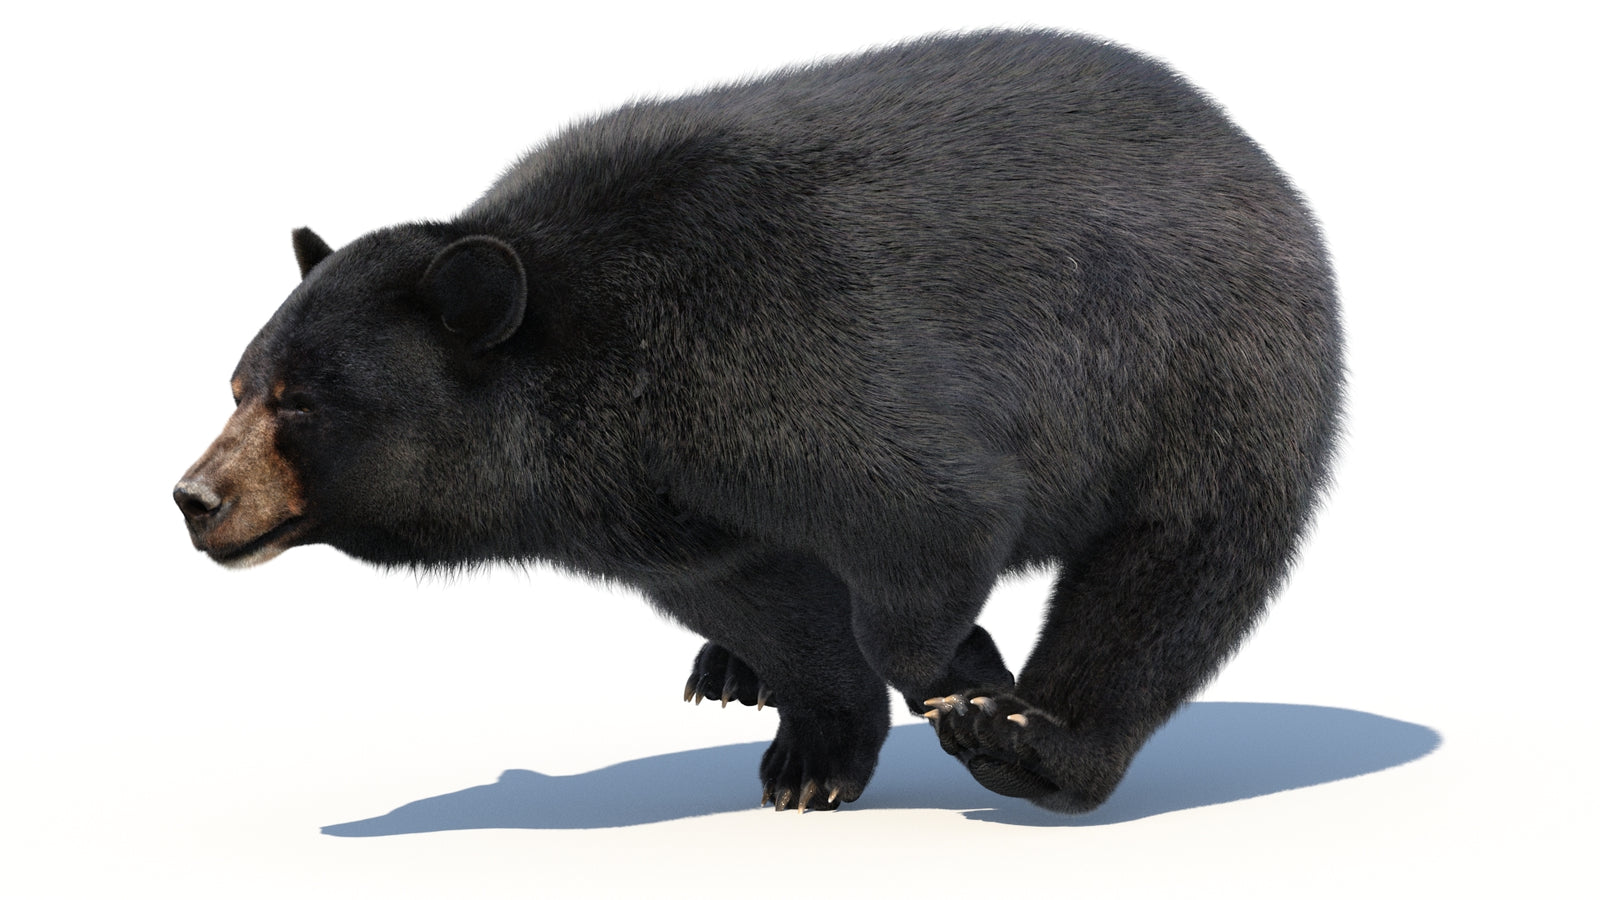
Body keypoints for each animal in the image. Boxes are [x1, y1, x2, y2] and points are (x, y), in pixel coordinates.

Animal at [174, 29, 1343, 815]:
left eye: (302, 401)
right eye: (237, 386)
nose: (195, 498)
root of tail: (1248, 150)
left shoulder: (781, 355)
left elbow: (932, 518)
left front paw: (966, 673)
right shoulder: (653, 505)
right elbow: (761, 601)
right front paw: (813, 758)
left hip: (1211, 368)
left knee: (1181, 560)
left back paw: (1033, 746)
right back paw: (734, 677)